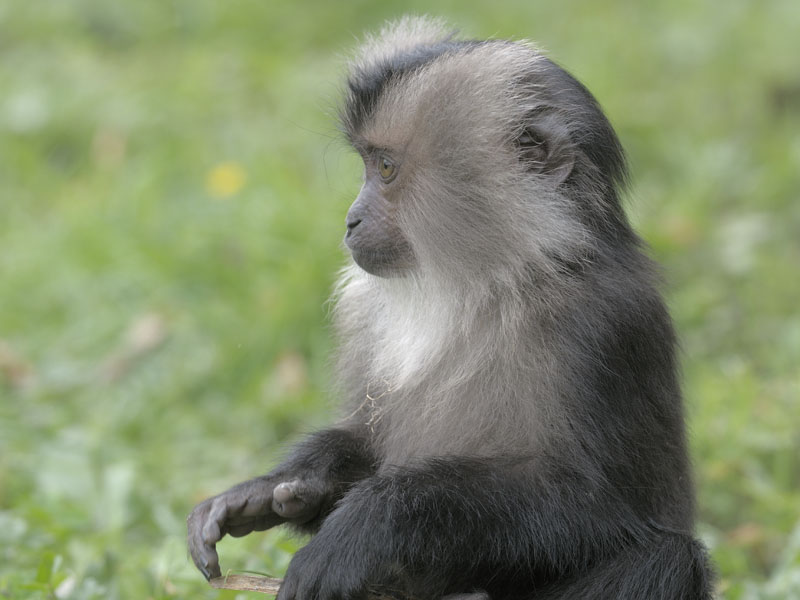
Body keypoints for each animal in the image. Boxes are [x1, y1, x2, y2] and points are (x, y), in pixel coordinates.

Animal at [187, 17, 714, 600]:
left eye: (386, 167)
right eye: (366, 165)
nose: (350, 220)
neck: (484, 282)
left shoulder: (605, 323)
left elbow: (596, 510)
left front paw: (368, 524)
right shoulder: (364, 312)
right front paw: (284, 486)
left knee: (669, 558)